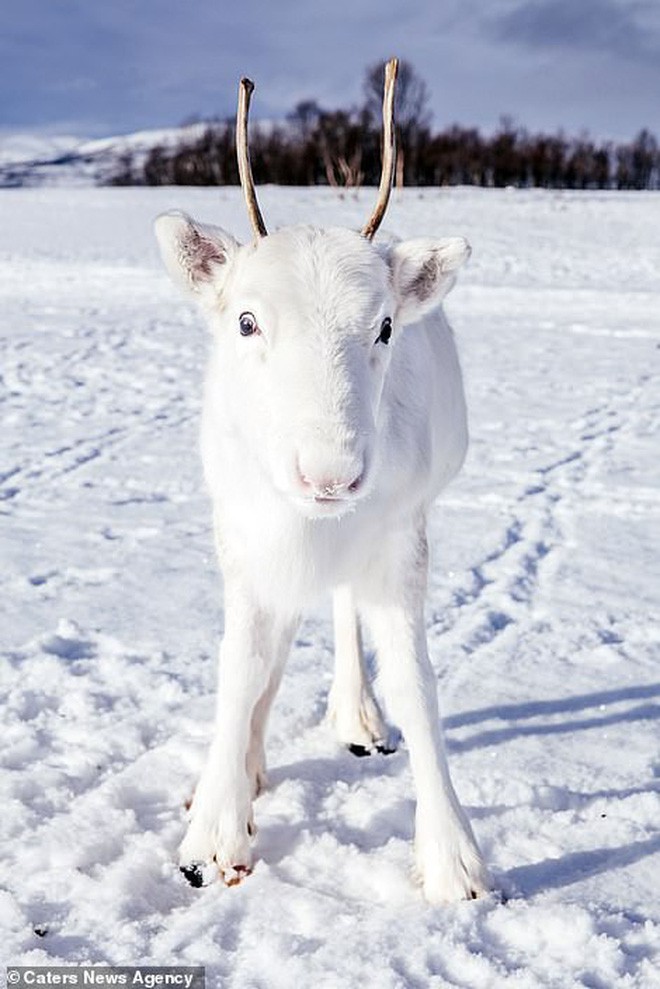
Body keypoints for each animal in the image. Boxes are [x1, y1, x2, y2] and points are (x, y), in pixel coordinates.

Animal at [155, 59, 490, 896]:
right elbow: (242, 665)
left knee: (341, 614)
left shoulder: (401, 538)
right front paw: (215, 827)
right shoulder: (244, 538)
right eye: (246, 320)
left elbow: (416, 681)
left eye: (386, 325)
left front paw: (453, 857)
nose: (331, 473)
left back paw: (355, 716)